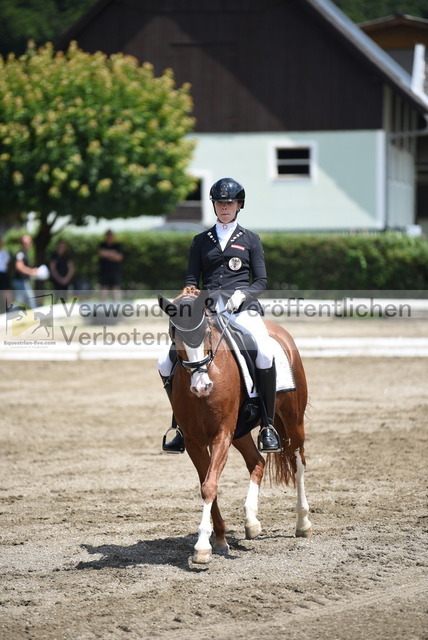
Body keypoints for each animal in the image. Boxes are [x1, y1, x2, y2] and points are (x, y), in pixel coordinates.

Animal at [158, 286, 312, 564]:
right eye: (175, 337)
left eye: (206, 333)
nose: (201, 387)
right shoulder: (196, 441)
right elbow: (208, 484)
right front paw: (218, 540)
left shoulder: (222, 434)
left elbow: (209, 486)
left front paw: (201, 546)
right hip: (240, 433)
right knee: (257, 462)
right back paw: (251, 521)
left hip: (293, 420)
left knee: (298, 463)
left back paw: (303, 523)